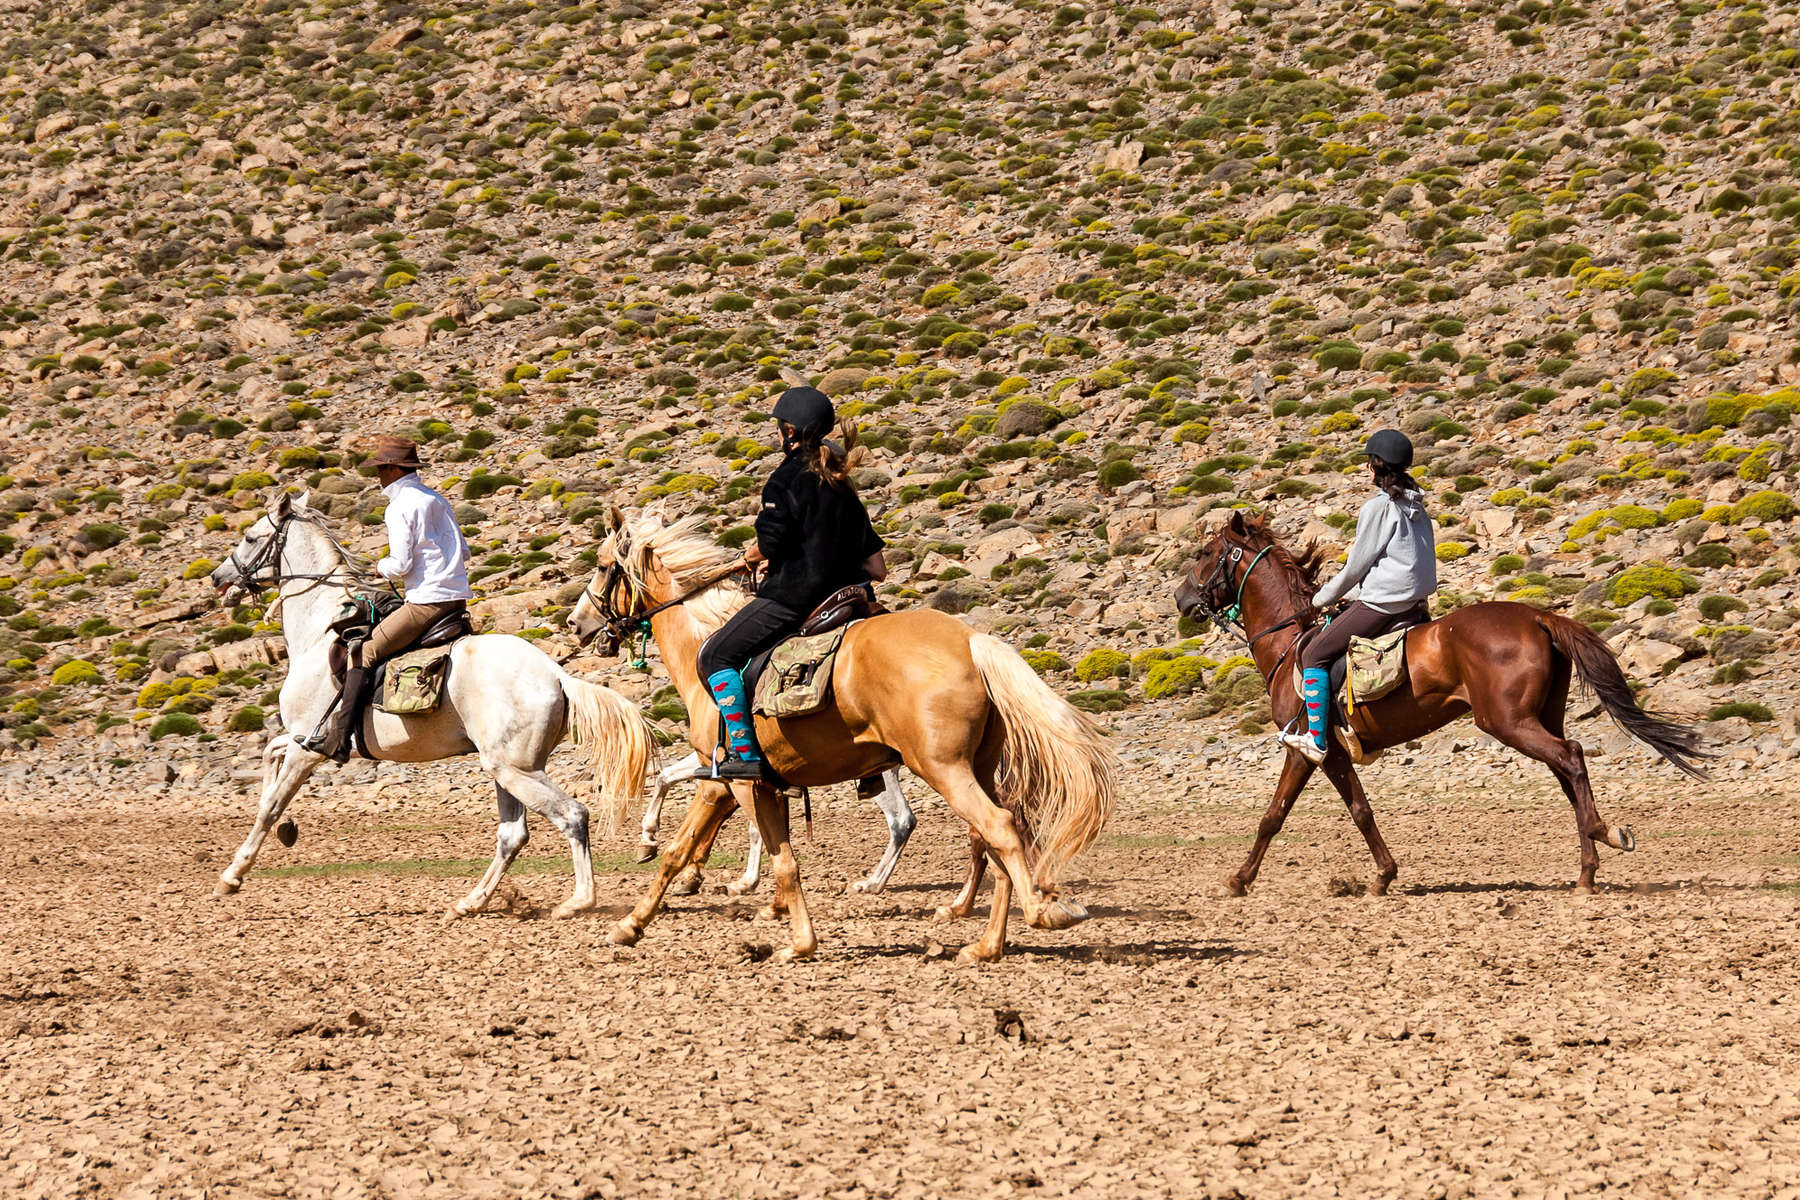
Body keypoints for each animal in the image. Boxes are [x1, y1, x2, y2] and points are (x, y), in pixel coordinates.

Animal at [207, 489, 655, 921]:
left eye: (250, 538)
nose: (218, 577)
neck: (321, 632)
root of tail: (557, 675)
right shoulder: (305, 737)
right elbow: (269, 757)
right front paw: (286, 829)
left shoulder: (308, 747)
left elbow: (270, 806)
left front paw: (232, 875)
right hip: (509, 768)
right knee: (513, 835)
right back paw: (470, 903)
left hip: (515, 770)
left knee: (572, 815)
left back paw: (577, 902)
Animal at [1173, 510, 1706, 895]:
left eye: (1207, 552)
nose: (1181, 598)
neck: (1290, 645)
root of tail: (1537, 616)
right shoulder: (1336, 754)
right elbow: (1359, 809)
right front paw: (1383, 876)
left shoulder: (1308, 749)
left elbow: (1277, 815)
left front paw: (1239, 880)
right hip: (1538, 718)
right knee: (1567, 771)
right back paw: (1591, 862)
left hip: (1507, 721)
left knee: (1572, 758)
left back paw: (1595, 850)